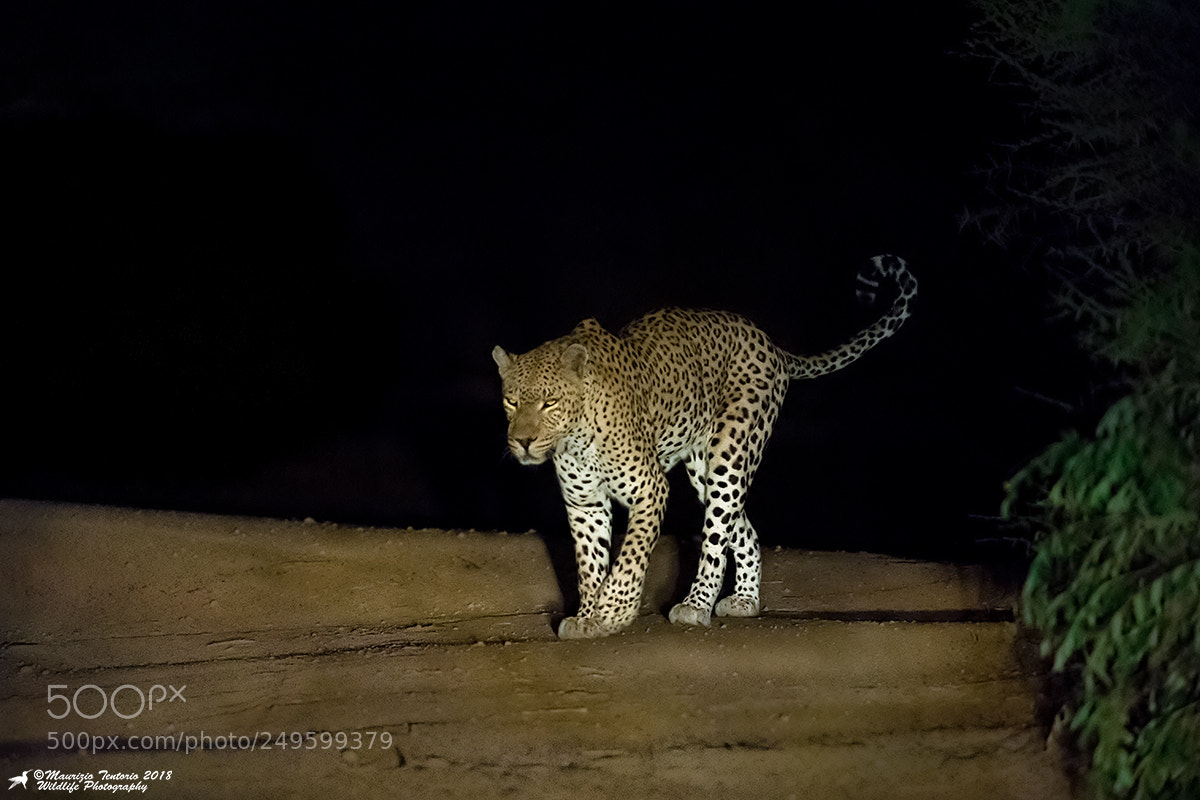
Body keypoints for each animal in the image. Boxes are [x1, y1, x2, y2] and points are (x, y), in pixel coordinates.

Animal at [492, 254, 917, 639]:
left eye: (549, 402)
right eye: (511, 400)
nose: (523, 441)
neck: (576, 437)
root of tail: (771, 344)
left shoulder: (650, 489)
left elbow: (630, 556)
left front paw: (614, 610)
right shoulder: (585, 504)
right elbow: (589, 565)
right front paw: (588, 617)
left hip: (731, 453)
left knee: (715, 539)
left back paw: (696, 605)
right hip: (704, 470)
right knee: (743, 531)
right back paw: (745, 600)